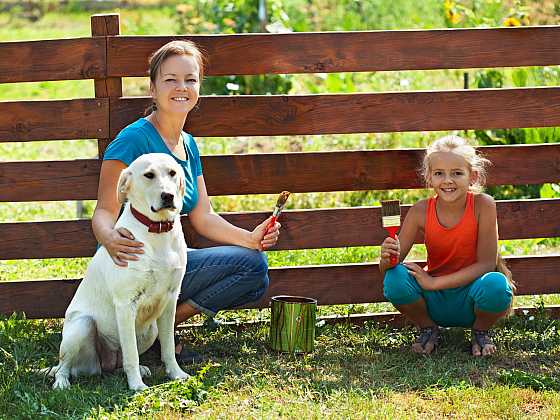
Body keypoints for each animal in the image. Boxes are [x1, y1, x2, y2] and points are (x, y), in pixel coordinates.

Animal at [43, 153, 190, 390]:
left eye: (172, 173)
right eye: (149, 175)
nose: (168, 195)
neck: (157, 231)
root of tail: (103, 366)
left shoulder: (170, 300)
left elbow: (168, 348)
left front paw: (176, 374)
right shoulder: (125, 304)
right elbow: (131, 354)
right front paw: (137, 386)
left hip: (151, 330)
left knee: (120, 361)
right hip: (82, 326)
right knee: (65, 365)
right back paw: (62, 382)